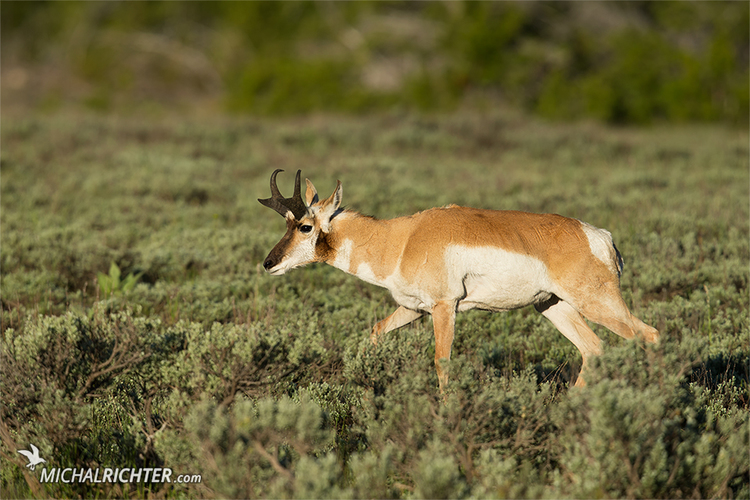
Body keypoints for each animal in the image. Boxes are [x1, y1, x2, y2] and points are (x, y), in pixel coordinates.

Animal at [262, 170, 660, 392]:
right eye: (287, 223)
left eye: (305, 226)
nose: (268, 263)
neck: (402, 238)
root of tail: (598, 236)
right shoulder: (413, 309)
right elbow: (375, 332)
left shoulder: (444, 307)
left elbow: (442, 362)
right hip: (553, 306)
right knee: (593, 349)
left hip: (596, 303)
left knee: (648, 335)